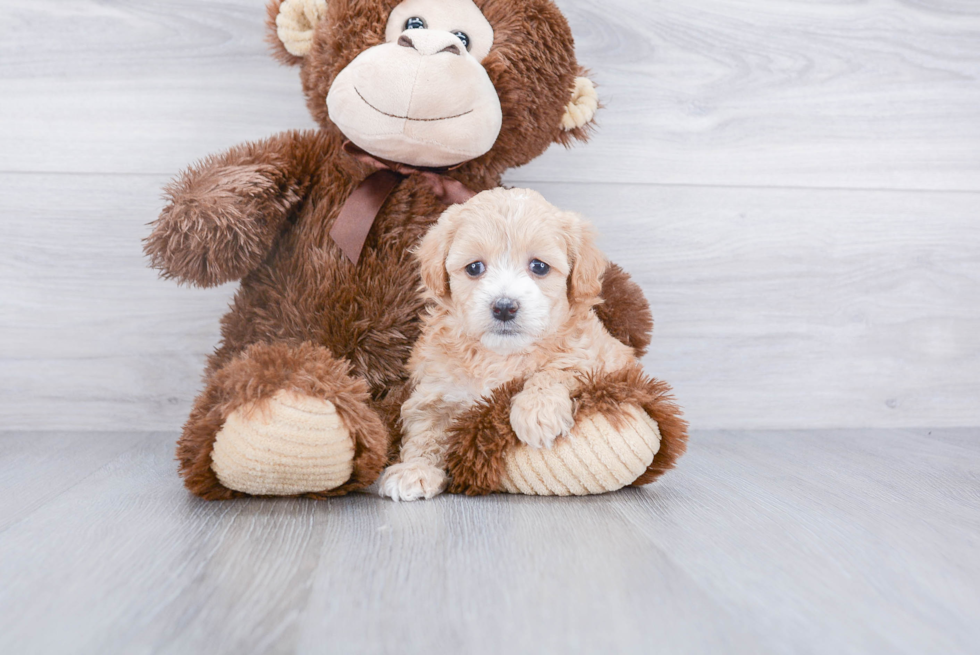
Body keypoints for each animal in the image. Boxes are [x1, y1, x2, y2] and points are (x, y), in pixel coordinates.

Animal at [378, 190, 640, 502]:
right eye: (474, 268)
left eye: (539, 266)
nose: (504, 307)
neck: (499, 356)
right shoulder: (436, 388)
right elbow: (425, 431)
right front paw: (414, 470)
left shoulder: (596, 360)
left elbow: (557, 370)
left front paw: (537, 411)